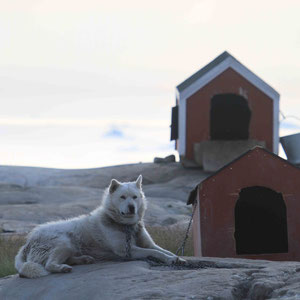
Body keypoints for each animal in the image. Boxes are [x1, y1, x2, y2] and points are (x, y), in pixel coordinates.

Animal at [15, 175, 186, 278]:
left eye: (135, 197)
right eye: (122, 197)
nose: (131, 207)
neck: (126, 226)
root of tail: (27, 242)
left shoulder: (148, 243)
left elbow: (163, 250)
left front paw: (177, 258)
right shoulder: (128, 251)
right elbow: (155, 253)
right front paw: (170, 259)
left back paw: (84, 259)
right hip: (64, 243)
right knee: (49, 265)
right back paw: (64, 268)